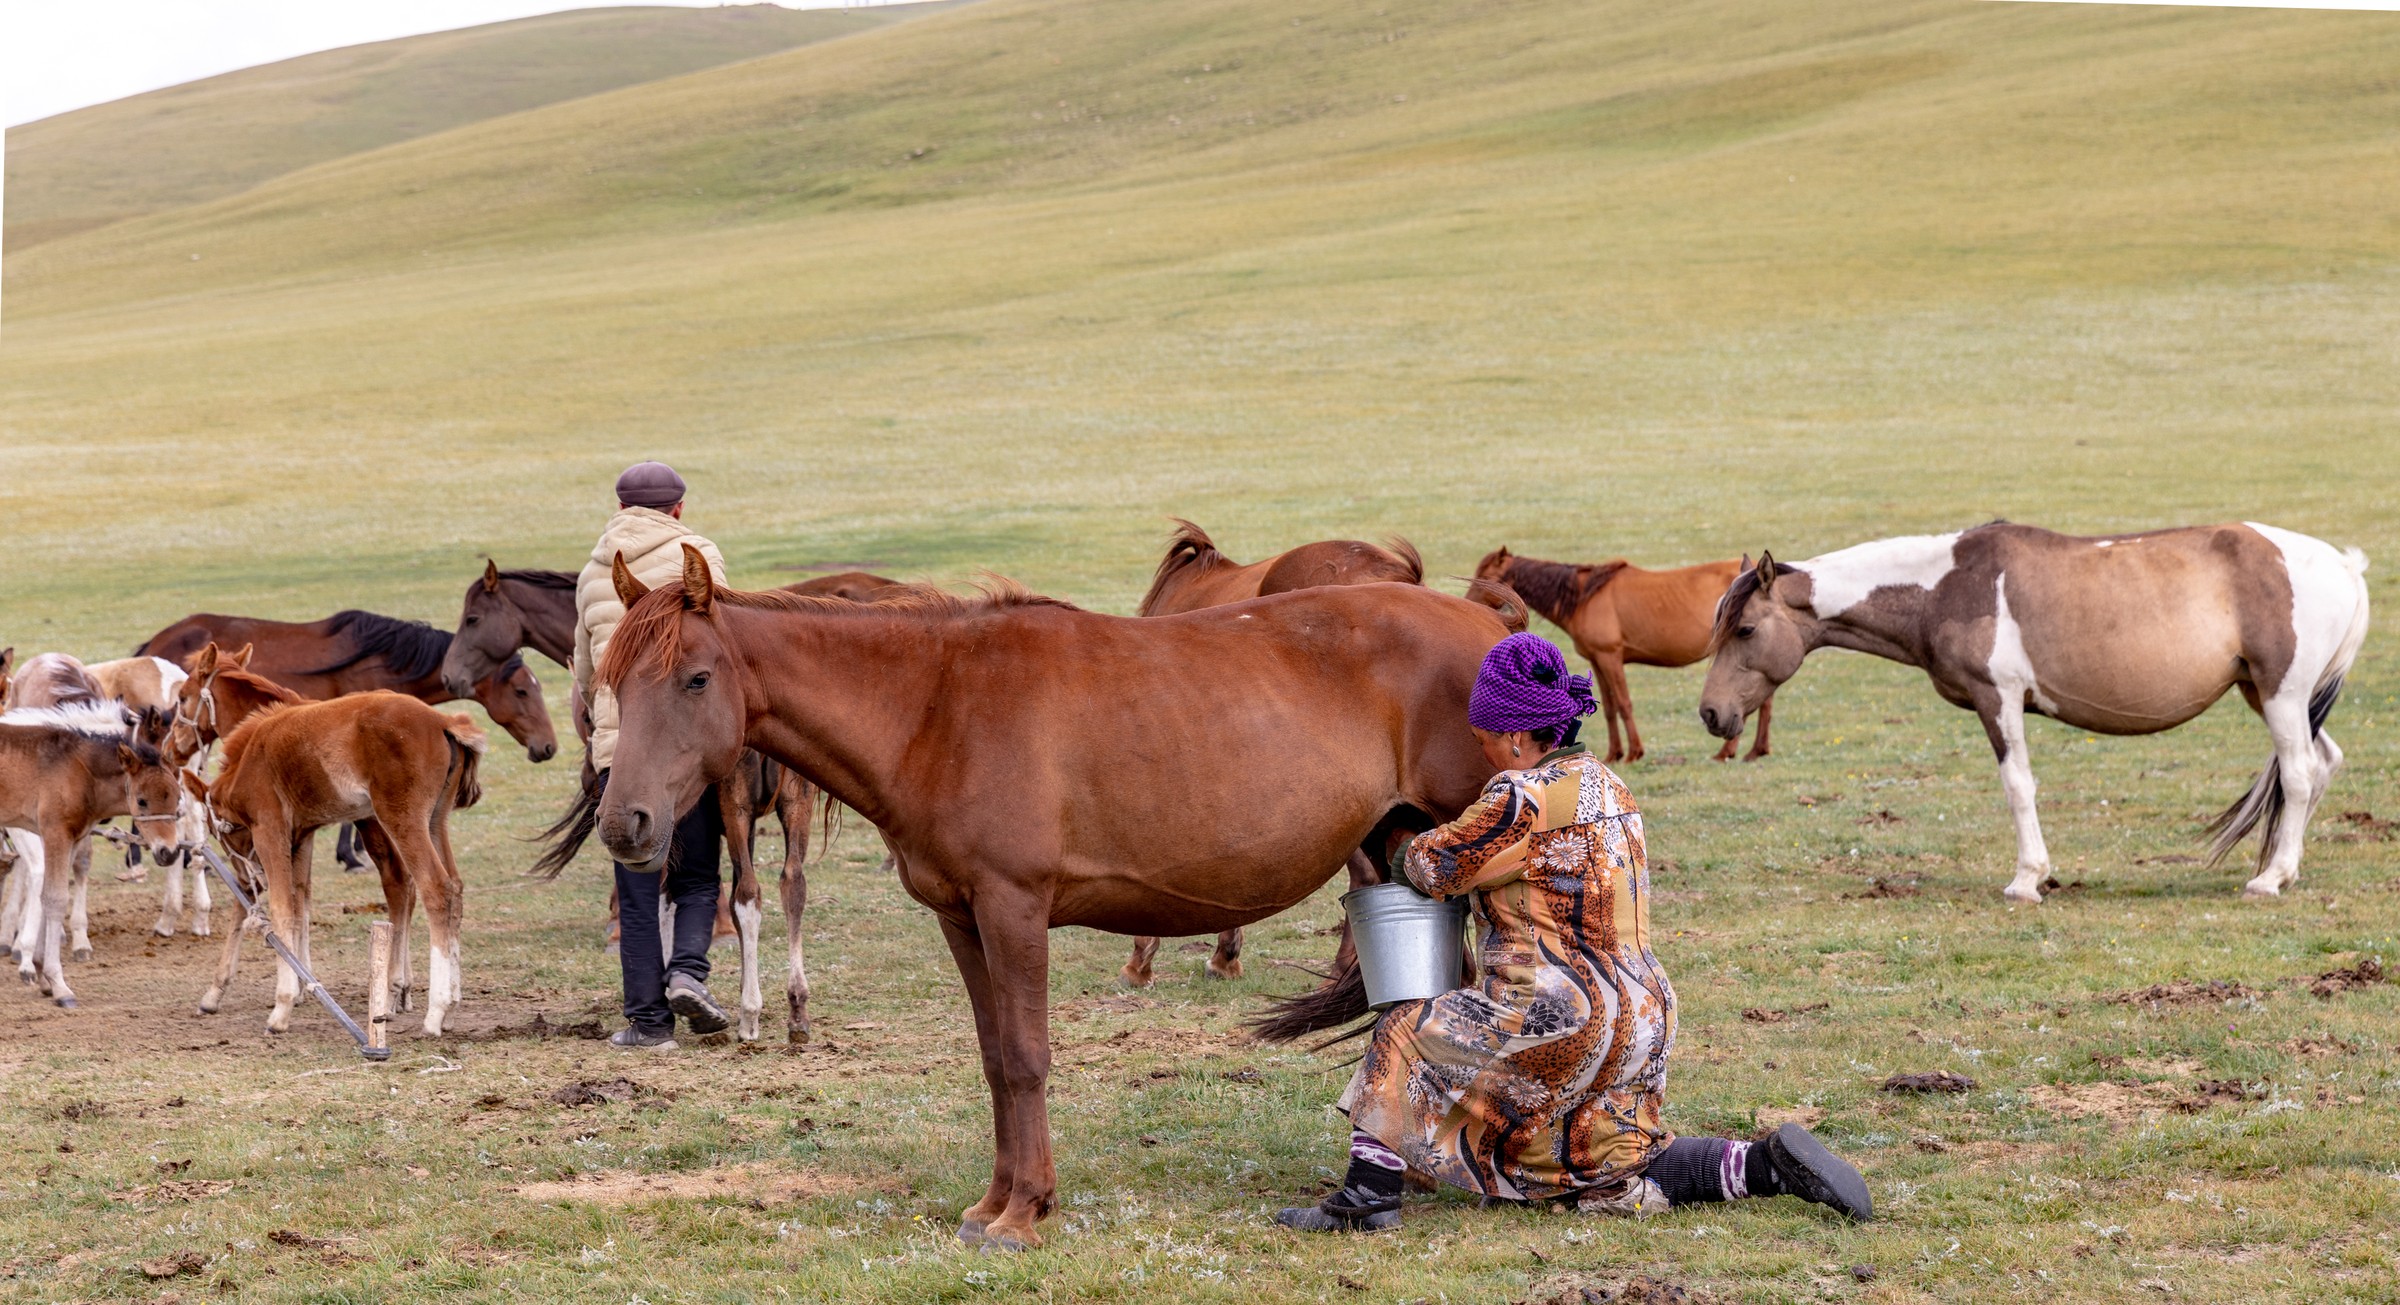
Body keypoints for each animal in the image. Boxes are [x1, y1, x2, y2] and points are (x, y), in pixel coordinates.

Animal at [0, 704, 186, 1006]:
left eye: (177, 797)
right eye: (142, 800)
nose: (168, 852)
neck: (79, 770)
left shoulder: (73, 839)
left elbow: (47, 895)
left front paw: (43, 976)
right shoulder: (55, 833)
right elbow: (55, 899)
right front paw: (59, 985)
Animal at [192, 692, 486, 1035]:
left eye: (218, 832)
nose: (248, 879)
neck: (252, 757)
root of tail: (444, 721)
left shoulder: (269, 830)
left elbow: (281, 907)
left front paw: (282, 1007)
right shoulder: (300, 838)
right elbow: (297, 902)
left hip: (401, 817)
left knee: (435, 888)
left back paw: (436, 1012)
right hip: (436, 820)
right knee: (454, 888)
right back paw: (451, 1006)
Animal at [1476, 547, 1775, 763]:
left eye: (1485, 578)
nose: (1469, 602)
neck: (1585, 597)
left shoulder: (1611, 657)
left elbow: (1623, 704)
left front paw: (1634, 752)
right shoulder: (1597, 660)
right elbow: (1608, 708)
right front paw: (1615, 753)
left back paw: (1729, 751)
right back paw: (1756, 750)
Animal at [1698, 522, 2371, 902]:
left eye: (1747, 629)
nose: (1710, 713)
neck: (1946, 587)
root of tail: (2344, 565)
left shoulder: (1998, 698)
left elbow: (2018, 785)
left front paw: (2028, 880)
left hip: (2282, 695)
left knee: (2299, 774)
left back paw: (2269, 879)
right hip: (2267, 694)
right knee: (2322, 764)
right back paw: (2288, 870)